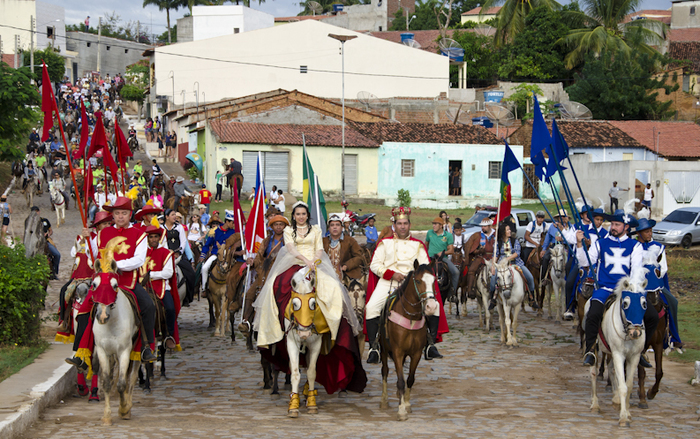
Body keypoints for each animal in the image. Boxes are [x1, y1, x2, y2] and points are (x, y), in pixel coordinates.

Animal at [92, 258, 143, 426]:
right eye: (94, 284)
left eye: (115, 286)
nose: (102, 316)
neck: (112, 323)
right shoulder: (102, 351)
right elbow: (107, 382)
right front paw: (107, 416)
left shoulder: (125, 351)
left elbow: (121, 384)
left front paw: (124, 409)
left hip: (137, 350)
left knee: (132, 376)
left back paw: (128, 404)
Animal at [284, 272, 322, 420]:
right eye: (295, 304)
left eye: (313, 304)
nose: (304, 333)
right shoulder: (291, 343)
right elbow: (295, 373)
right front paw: (293, 405)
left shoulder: (316, 344)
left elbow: (312, 372)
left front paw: (312, 403)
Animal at [584, 280, 648, 428]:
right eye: (625, 304)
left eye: (644, 304)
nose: (635, 332)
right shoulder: (619, 354)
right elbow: (623, 386)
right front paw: (623, 418)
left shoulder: (634, 357)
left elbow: (628, 385)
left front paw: (627, 413)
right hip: (596, 348)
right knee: (594, 373)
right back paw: (595, 404)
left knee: (612, 370)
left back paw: (615, 399)